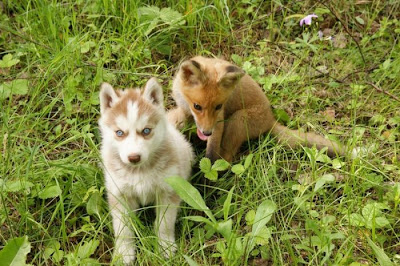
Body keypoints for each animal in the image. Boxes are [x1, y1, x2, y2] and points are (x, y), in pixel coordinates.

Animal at [99, 77, 195, 264]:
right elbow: (123, 229)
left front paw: (165, 246)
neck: (139, 172)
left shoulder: (168, 191)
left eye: (146, 131)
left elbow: (164, 223)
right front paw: (124, 252)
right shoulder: (119, 194)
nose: (134, 157)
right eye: (119, 133)